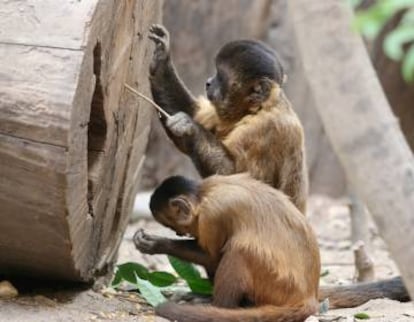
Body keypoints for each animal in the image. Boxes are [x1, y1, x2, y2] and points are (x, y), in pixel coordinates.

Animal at [146, 24, 308, 214]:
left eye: (220, 77)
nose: (208, 82)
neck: (258, 108)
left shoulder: (267, 128)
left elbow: (236, 177)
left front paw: (189, 128)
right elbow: (195, 113)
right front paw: (161, 58)